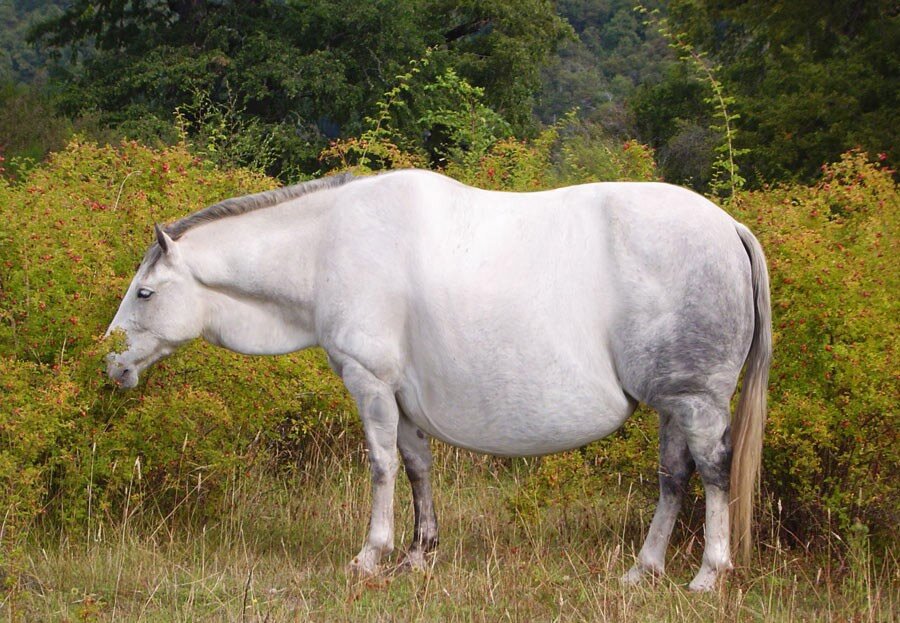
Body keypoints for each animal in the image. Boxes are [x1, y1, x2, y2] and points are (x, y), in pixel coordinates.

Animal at [103, 168, 768, 592]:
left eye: (145, 292)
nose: (111, 365)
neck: (326, 249)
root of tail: (729, 227)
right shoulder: (401, 395)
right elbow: (418, 467)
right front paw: (419, 556)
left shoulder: (368, 381)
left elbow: (381, 466)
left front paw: (372, 555)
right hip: (672, 404)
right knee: (673, 478)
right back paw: (642, 570)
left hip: (698, 402)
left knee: (712, 474)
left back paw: (708, 574)